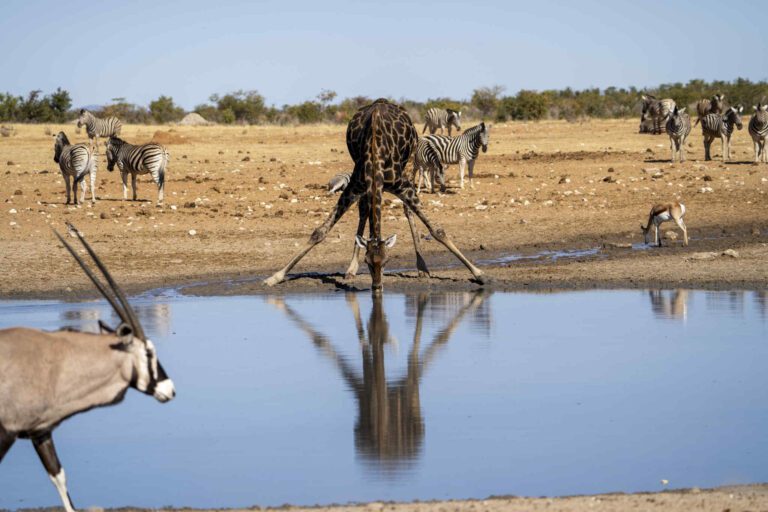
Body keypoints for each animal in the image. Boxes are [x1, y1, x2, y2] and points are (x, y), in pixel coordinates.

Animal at [264, 99, 486, 293]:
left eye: (387, 260)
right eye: (367, 262)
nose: (377, 287)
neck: (375, 151)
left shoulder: (402, 185)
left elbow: (437, 230)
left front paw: (478, 273)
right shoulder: (355, 185)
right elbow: (319, 232)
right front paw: (275, 276)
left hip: (407, 167)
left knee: (405, 210)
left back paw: (422, 268)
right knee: (364, 210)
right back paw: (350, 269)